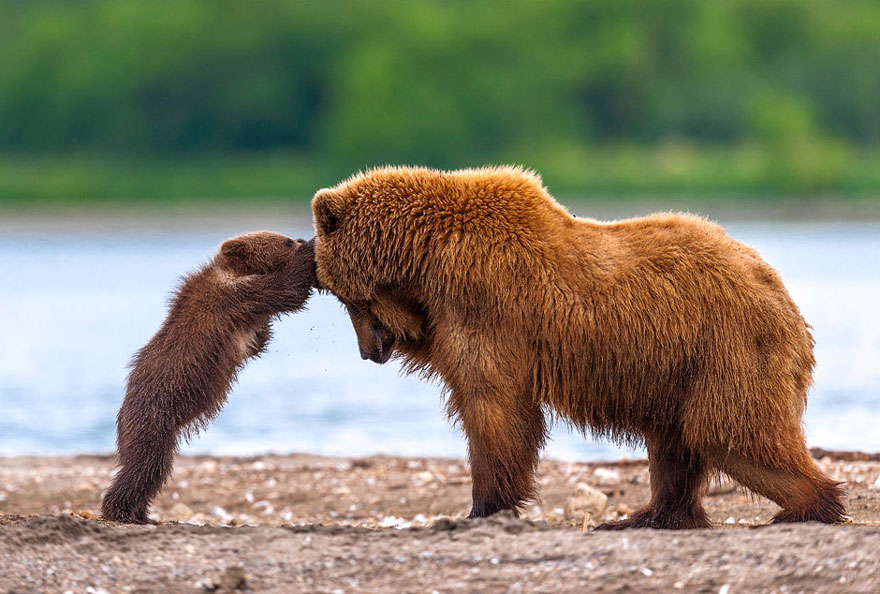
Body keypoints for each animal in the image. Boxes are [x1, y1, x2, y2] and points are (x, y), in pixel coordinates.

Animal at [312, 163, 848, 528]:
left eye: (344, 296)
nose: (369, 351)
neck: (426, 257)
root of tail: (783, 295)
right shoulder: (447, 313)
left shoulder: (485, 303)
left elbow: (493, 407)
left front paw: (483, 506)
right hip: (679, 369)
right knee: (676, 443)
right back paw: (647, 515)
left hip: (727, 348)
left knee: (731, 432)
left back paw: (806, 505)